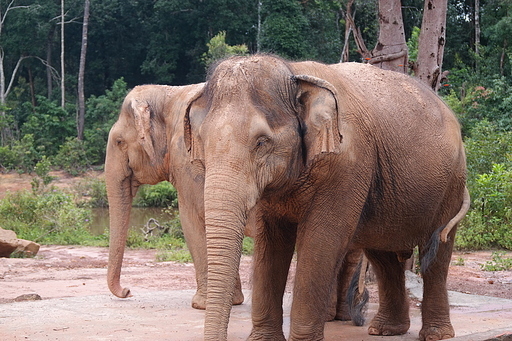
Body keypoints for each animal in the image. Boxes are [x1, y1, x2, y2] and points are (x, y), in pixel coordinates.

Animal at [104, 82, 246, 308]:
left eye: (119, 141)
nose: (127, 291)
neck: (170, 93)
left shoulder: (188, 160)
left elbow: (195, 219)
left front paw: (201, 305)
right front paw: (233, 302)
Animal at [186, 54, 470, 338]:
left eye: (261, 142)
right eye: (202, 141)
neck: (294, 72)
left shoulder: (347, 165)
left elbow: (320, 239)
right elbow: (271, 241)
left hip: (453, 183)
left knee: (436, 255)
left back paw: (435, 334)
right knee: (383, 256)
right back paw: (385, 330)